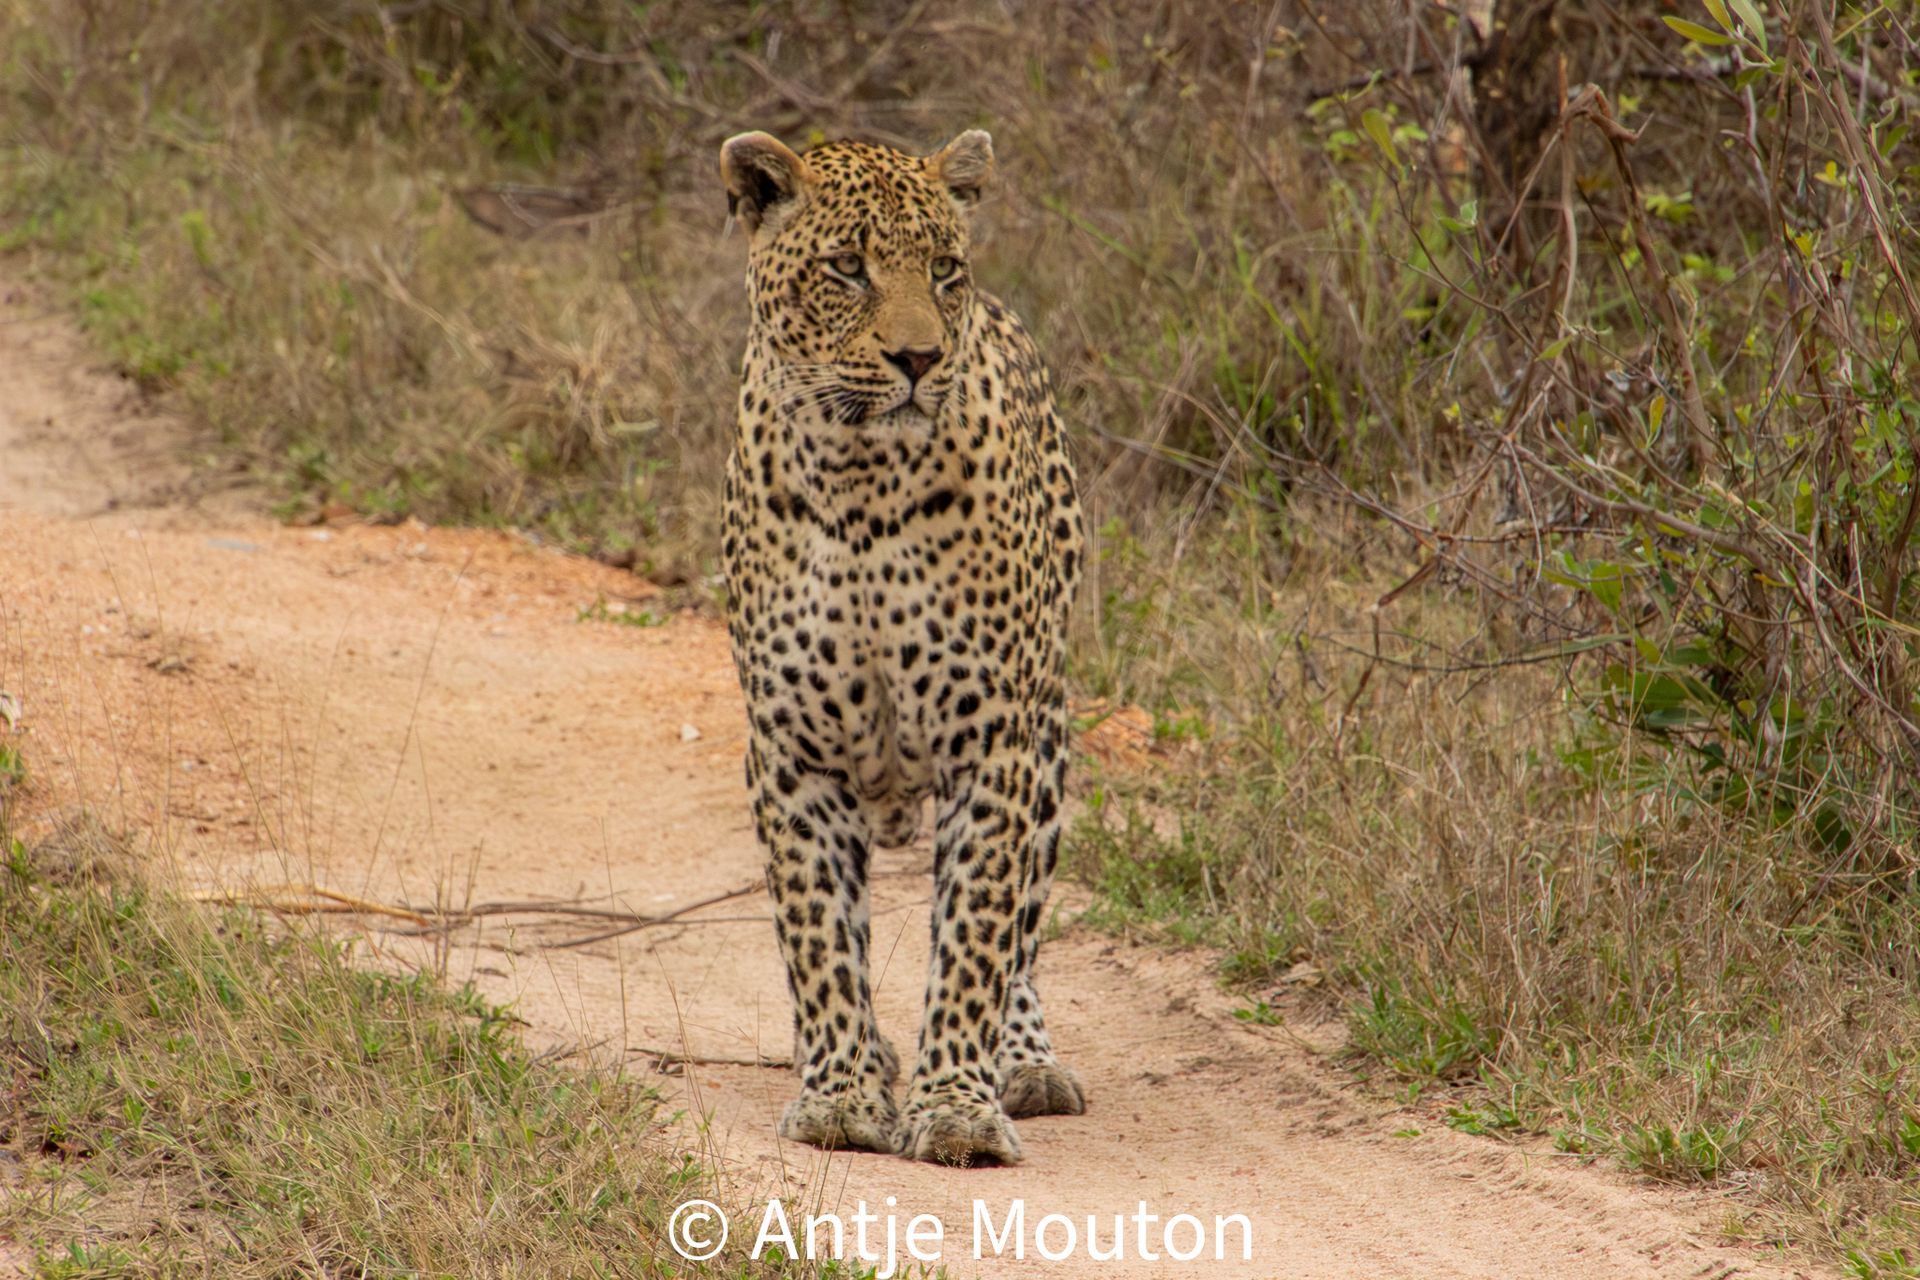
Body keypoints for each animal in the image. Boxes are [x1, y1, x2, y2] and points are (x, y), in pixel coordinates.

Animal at [718, 127, 1087, 1165]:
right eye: (847, 268)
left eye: (944, 269)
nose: (920, 356)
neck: (863, 485)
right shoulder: (791, 749)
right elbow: (816, 932)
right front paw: (842, 1094)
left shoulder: (992, 743)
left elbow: (975, 935)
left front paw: (958, 1106)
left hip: (1049, 737)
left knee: (1023, 929)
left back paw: (1024, 1061)